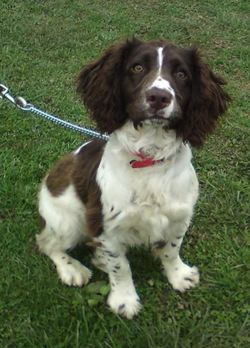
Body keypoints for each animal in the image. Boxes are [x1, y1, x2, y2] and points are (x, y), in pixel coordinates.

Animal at [36, 38, 229, 318]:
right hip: (69, 222)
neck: (150, 157)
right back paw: (72, 268)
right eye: (137, 67)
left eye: (182, 74)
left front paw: (179, 275)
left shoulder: (180, 216)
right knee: (47, 244)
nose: (159, 97)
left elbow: (172, 249)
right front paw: (124, 301)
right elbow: (121, 267)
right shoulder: (106, 226)